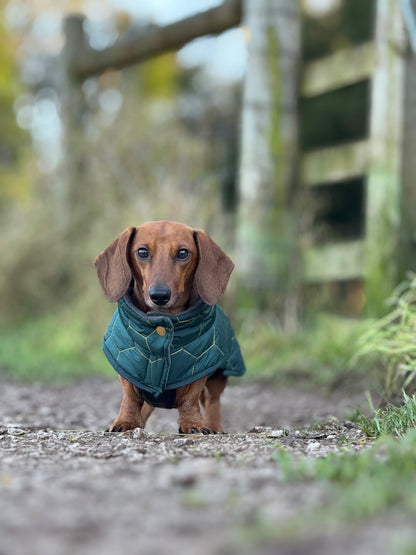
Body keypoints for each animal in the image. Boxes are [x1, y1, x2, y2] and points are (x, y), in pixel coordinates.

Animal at [95, 220, 244, 434]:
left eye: (183, 253)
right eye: (142, 252)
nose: (159, 295)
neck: (163, 320)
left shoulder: (199, 367)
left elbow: (190, 398)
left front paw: (193, 423)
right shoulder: (126, 364)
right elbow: (130, 397)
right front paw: (125, 421)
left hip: (219, 374)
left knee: (212, 401)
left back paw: (213, 425)